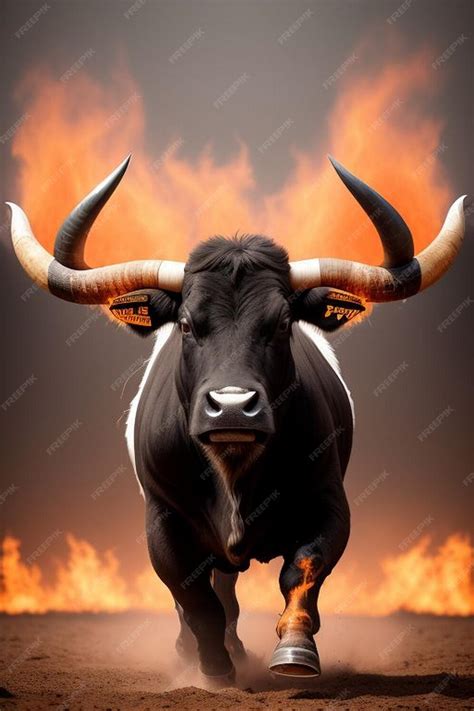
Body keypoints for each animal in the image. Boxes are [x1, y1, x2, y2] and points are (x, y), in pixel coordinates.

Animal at [7, 155, 466, 682]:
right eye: (187, 324)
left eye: (283, 323)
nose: (231, 405)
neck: (234, 470)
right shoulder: (163, 522)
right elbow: (195, 598)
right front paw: (211, 668)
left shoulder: (330, 505)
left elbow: (302, 569)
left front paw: (294, 649)